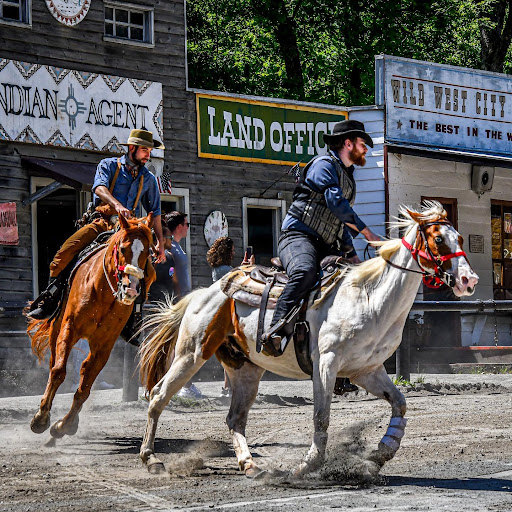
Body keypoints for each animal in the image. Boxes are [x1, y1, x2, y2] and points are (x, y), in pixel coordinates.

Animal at [27, 214, 155, 438]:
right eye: (123, 249)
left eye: (147, 252)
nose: (131, 289)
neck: (102, 292)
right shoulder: (69, 329)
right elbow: (59, 371)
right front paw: (40, 418)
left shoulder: (103, 346)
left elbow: (85, 387)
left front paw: (64, 425)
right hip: (56, 329)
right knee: (54, 364)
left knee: (84, 374)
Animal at [138, 203, 478, 476]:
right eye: (438, 238)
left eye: (460, 238)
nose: (469, 280)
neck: (368, 297)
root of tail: (204, 293)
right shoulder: (326, 364)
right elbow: (321, 417)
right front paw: (308, 465)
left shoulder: (366, 370)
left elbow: (400, 403)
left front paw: (383, 450)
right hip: (191, 354)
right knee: (158, 396)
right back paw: (152, 459)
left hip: (245, 368)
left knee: (235, 418)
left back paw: (251, 465)